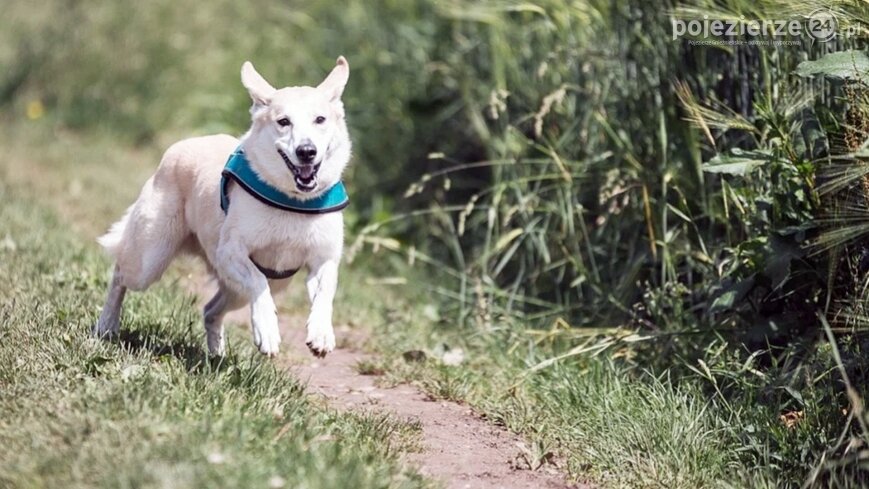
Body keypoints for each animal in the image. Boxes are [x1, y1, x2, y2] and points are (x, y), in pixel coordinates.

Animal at [93, 57, 350, 356]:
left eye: (320, 119)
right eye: (283, 122)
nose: (306, 151)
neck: (293, 201)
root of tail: (181, 146)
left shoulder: (324, 259)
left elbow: (325, 293)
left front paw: (321, 333)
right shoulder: (230, 252)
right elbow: (257, 282)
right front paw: (268, 331)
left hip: (257, 285)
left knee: (210, 310)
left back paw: (216, 354)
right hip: (149, 259)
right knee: (120, 274)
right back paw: (106, 325)